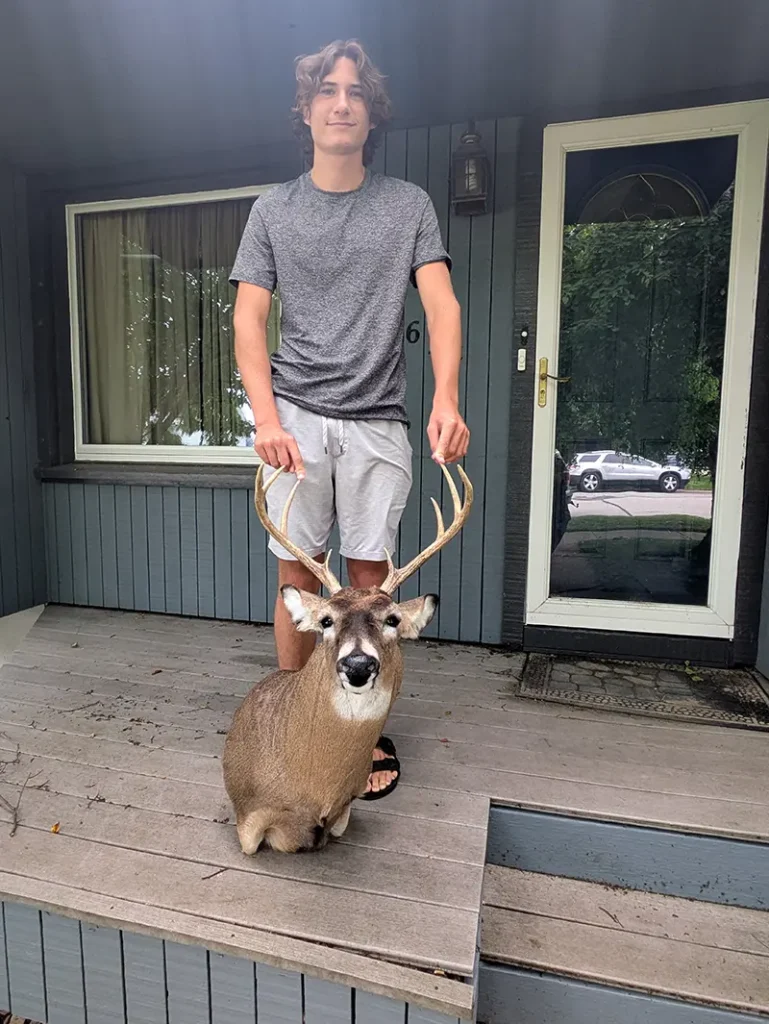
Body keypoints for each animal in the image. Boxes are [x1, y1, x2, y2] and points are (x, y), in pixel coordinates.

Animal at [222, 461, 473, 855]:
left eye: (392, 620)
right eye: (326, 620)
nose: (358, 665)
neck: (315, 789)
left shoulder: (346, 808)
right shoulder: (247, 815)